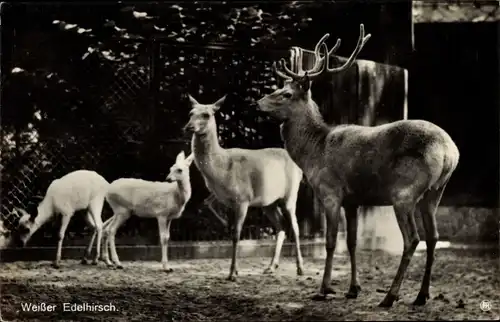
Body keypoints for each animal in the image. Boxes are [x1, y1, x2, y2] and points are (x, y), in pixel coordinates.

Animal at [185, 94, 304, 280]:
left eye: (207, 114)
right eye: (190, 112)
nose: (189, 127)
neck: (220, 171)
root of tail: (300, 168)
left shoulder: (243, 198)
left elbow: (236, 234)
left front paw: (232, 273)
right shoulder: (223, 196)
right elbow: (206, 203)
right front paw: (226, 224)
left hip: (291, 193)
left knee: (295, 227)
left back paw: (300, 268)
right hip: (268, 202)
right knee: (281, 226)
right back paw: (271, 267)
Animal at [258, 23, 460, 306]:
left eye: (286, 93)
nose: (258, 102)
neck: (314, 152)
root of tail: (450, 151)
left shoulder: (330, 192)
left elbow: (331, 242)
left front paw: (323, 289)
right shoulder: (353, 200)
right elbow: (352, 243)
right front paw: (353, 289)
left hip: (405, 192)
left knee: (412, 239)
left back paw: (390, 296)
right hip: (435, 192)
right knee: (433, 237)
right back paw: (421, 296)